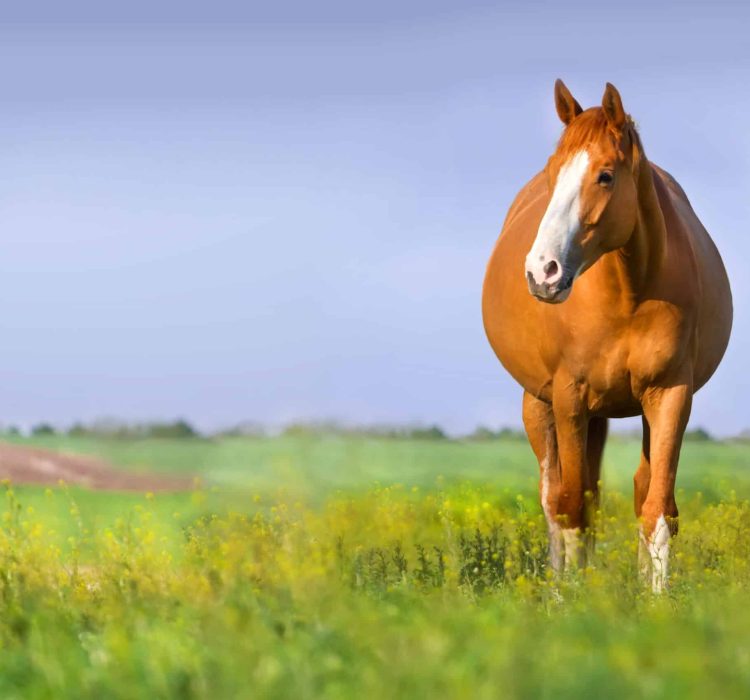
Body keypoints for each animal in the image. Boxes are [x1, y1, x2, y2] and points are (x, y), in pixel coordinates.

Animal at [482, 80, 736, 592]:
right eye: (553, 173)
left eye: (604, 176)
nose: (542, 272)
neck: (627, 292)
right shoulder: (569, 398)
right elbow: (571, 508)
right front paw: (572, 599)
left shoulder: (669, 395)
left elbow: (657, 508)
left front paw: (655, 599)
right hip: (539, 405)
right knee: (554, 499)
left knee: (633, 492)